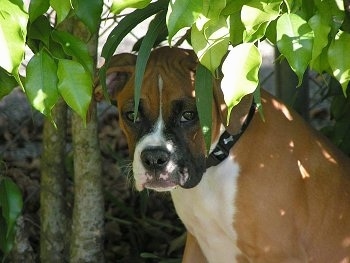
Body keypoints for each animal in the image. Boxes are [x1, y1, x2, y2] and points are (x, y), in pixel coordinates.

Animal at [97, 46, 350, 262]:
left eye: (189, 115)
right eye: (131, 115)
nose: (154, 159)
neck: (219, 160)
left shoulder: (278, 254)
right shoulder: (196, 244)